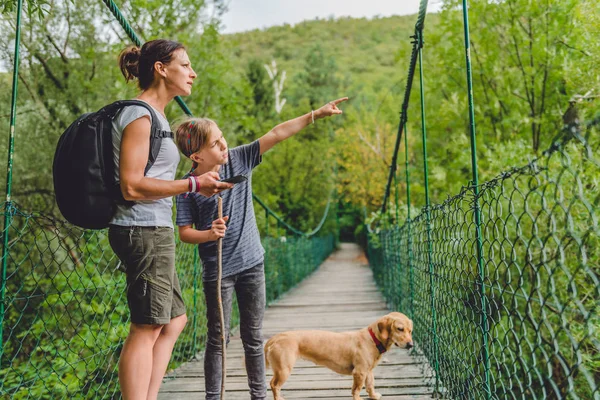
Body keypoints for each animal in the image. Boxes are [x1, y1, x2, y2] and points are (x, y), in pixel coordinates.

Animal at [264, 312, 414, 400]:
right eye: (400, 329)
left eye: (410, 331)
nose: (410, 345)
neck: (372, 339)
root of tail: (275, 338)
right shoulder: (359, 372)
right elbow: (357, 389)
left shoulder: (368, 371)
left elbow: (370, 385)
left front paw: (374, 396)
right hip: (284, 370)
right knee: (274, 385)